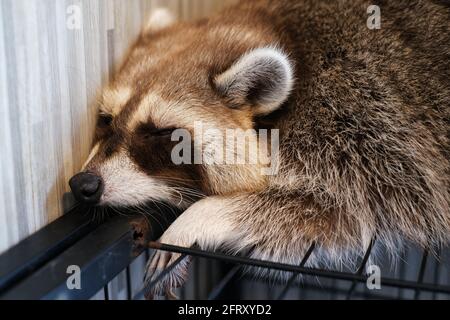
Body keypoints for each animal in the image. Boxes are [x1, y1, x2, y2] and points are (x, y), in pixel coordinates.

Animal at [68, 1, 448, 298]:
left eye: (159, 132)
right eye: (106, 119)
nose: (84, 184)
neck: (281, 28)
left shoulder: (363, 135)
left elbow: (335, 212)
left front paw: (199, 218)